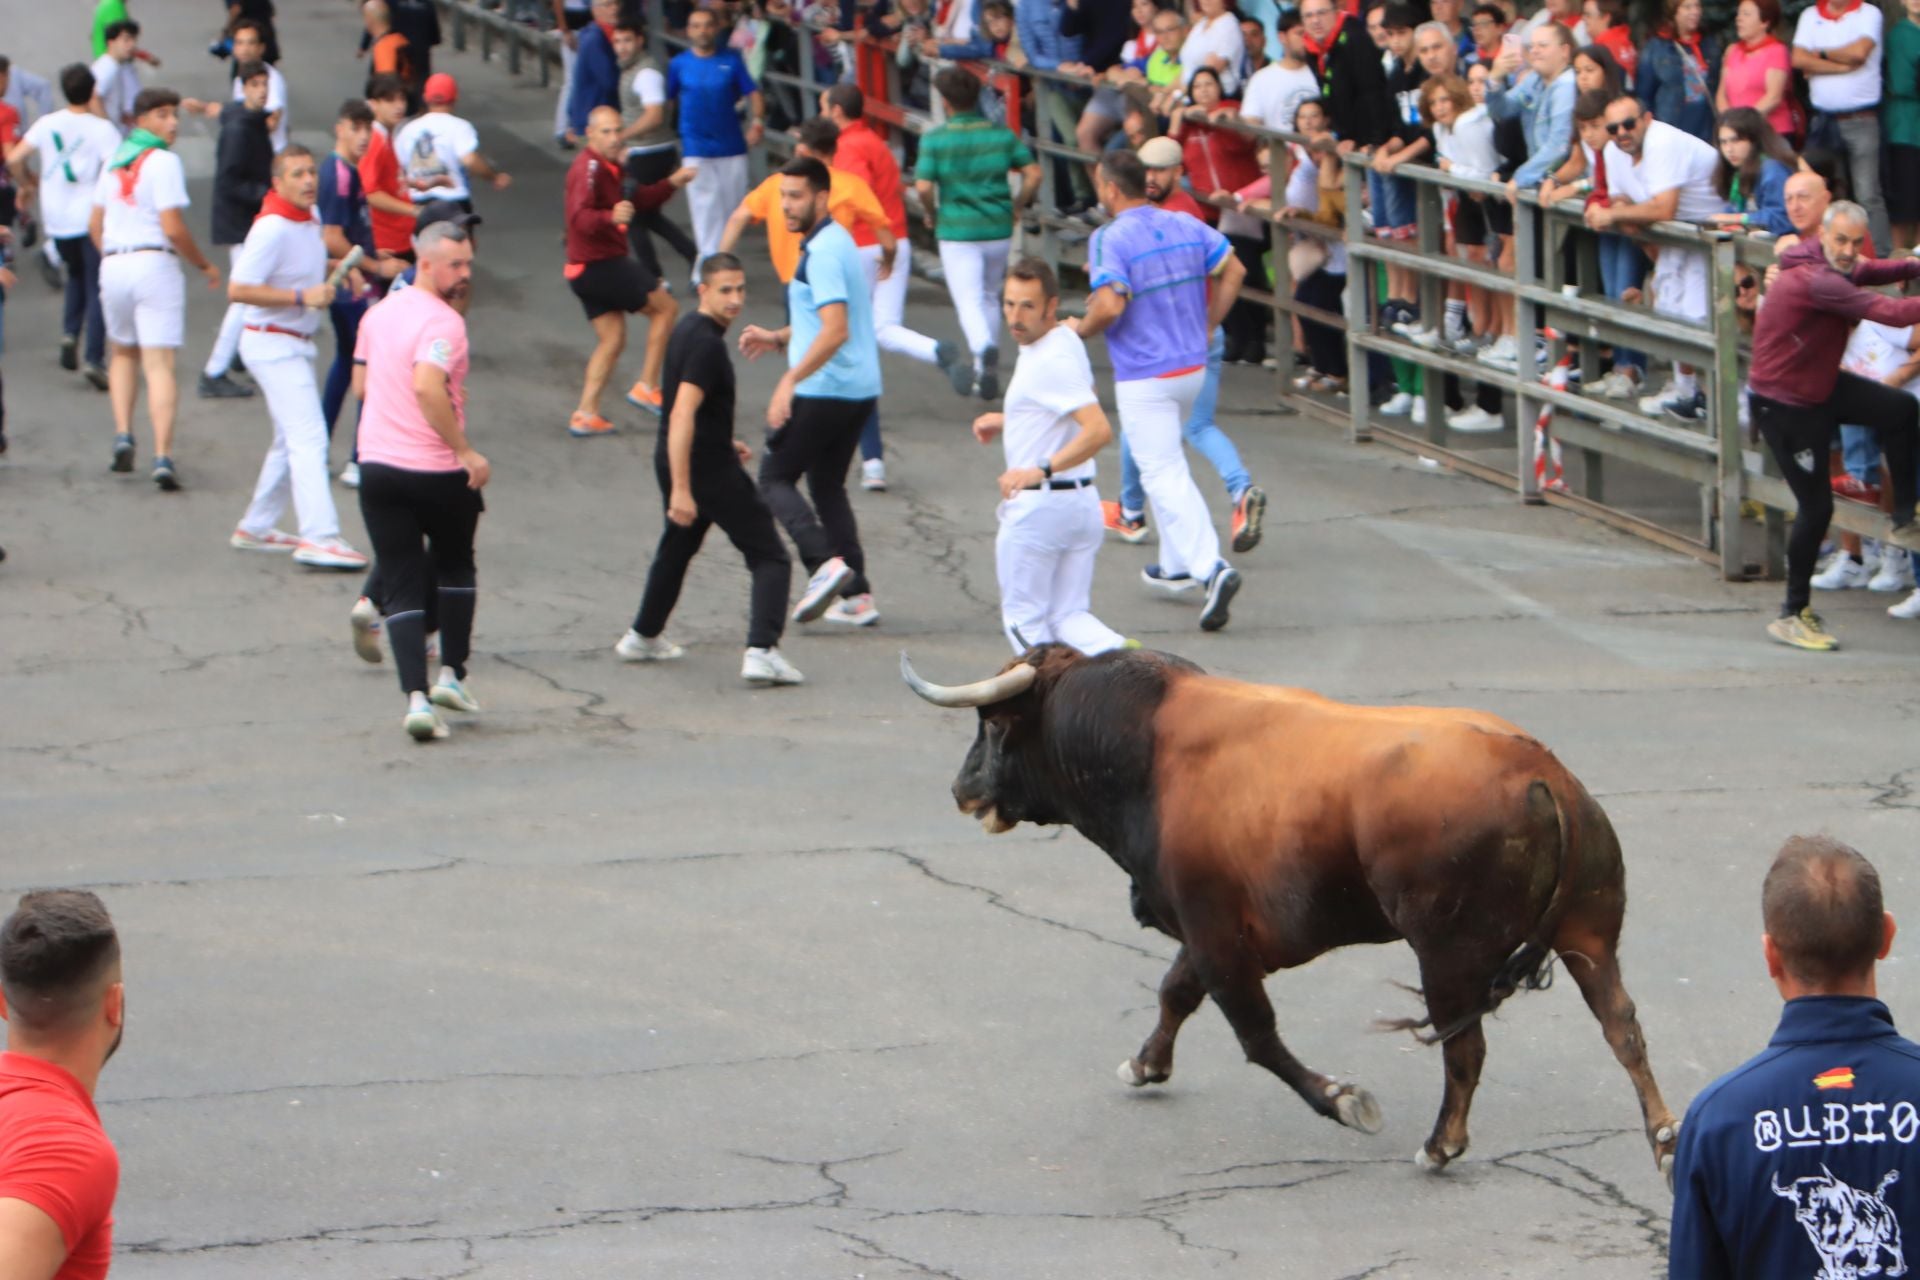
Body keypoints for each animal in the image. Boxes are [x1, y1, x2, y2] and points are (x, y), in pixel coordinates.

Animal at [906, 644, 1674, 1174]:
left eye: (995, 725)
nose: (961, 790)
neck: (1147, 752)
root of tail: (1540, 771)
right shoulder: (1210, 932)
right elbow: (1175, 992)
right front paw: (1146, 1064)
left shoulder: (1216, 934)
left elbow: (1254, 1035)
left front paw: (1342, 1099)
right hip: (1588, 933)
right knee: (1622, 1026)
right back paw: (1664, 1139)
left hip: (1447, 954)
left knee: (1467, 1048)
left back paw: (1440, 1145)